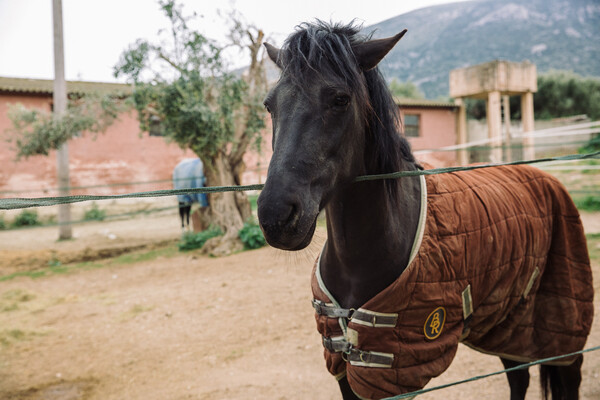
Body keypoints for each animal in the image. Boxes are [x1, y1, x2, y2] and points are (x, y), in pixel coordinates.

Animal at [258, 22, 592, 400]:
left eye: (340, 99)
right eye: (270, 105)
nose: (276, 215)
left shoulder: (395, 374)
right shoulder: (346, 369)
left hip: (563, 327)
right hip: (508, 322)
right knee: (518, 375)